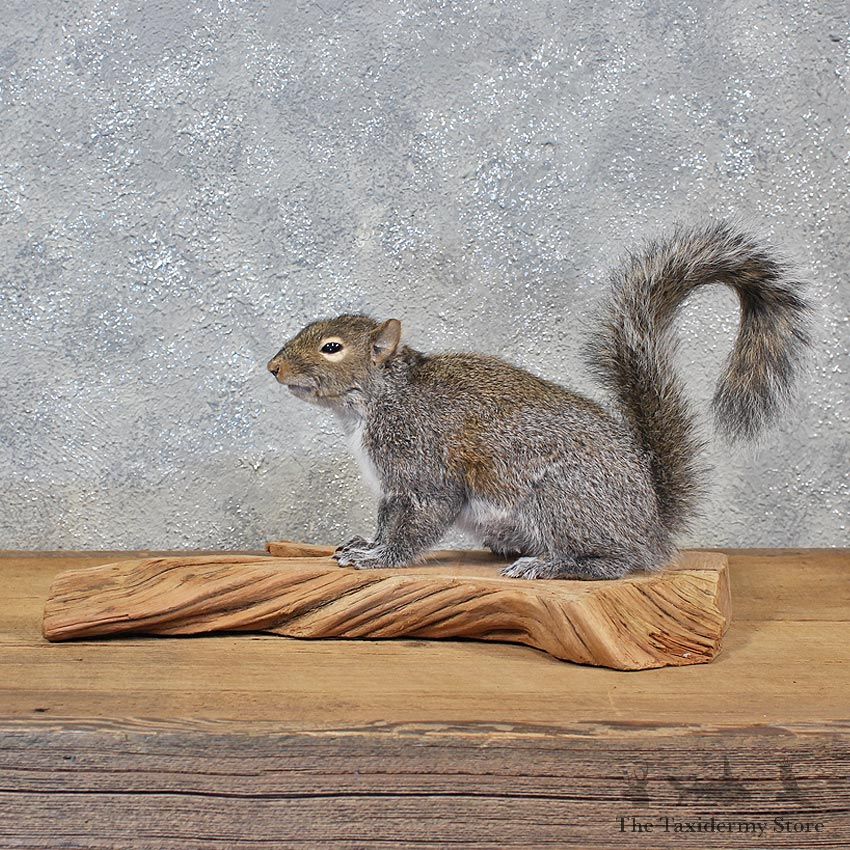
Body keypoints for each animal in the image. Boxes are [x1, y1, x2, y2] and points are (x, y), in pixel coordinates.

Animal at [267, 221, 811, 580]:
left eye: (332, 348)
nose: (273, 368)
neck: (379, 399)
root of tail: (651, 525)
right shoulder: (392, 487)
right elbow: (386, 521)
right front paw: (364, 543)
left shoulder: (424, 470)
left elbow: (416, 524)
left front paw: (378, 558)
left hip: (561, 500)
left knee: (615, 563)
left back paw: (550, 566)